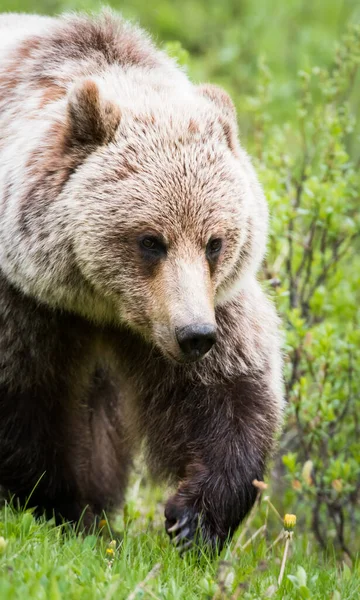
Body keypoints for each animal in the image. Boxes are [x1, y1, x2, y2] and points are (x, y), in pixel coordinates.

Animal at [0, 10, 282, 552]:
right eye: (150, 240)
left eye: (214, 242)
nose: (195, 335)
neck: (98, 307)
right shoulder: (25, 300)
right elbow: (26, 397)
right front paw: (62, 505)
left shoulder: (208, 304)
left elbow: (230, 390)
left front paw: (193, 519)